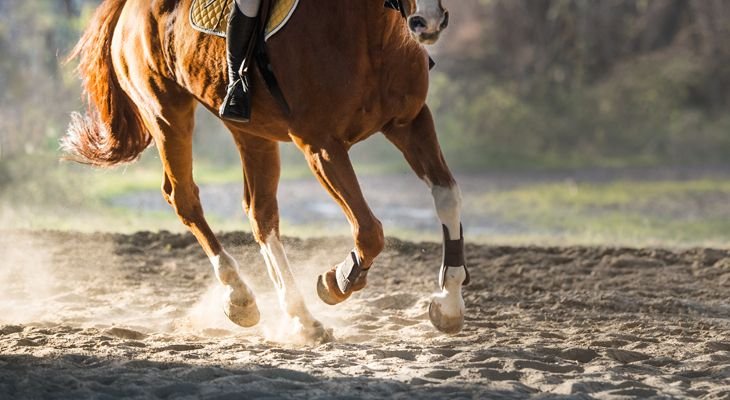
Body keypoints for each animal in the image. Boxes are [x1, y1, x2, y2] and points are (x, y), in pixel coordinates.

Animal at [65, 0, 470, 342]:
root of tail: (130, 7)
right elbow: (369, 231)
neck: (372, 31)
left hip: (250, 131)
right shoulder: (321, 145)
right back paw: (240, 296)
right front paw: (336, 281)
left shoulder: (410, 123)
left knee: (260, 214)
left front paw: (448, 304)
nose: (428, 22)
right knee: (184, 198)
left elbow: (448, 196)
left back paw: (299, 318)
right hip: (167, 114)